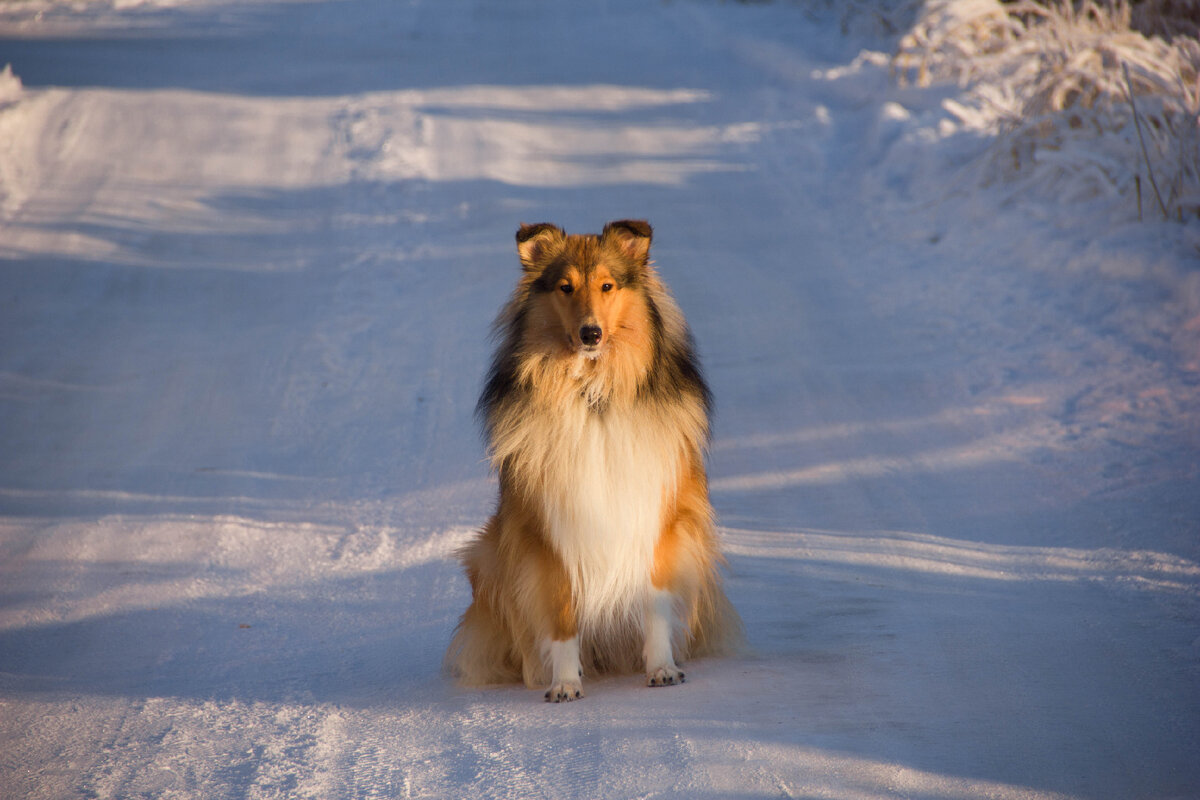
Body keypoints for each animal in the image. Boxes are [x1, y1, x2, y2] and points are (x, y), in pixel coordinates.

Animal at [444, 221, 734, 705]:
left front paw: (662, 668)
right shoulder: (548, 529)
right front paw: (565, 682)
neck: (593, 393)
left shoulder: (657, 516)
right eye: (565, 287)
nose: (590, 334)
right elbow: (561, 612)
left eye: (607, 286)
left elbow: (655, 601)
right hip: (487, 553)